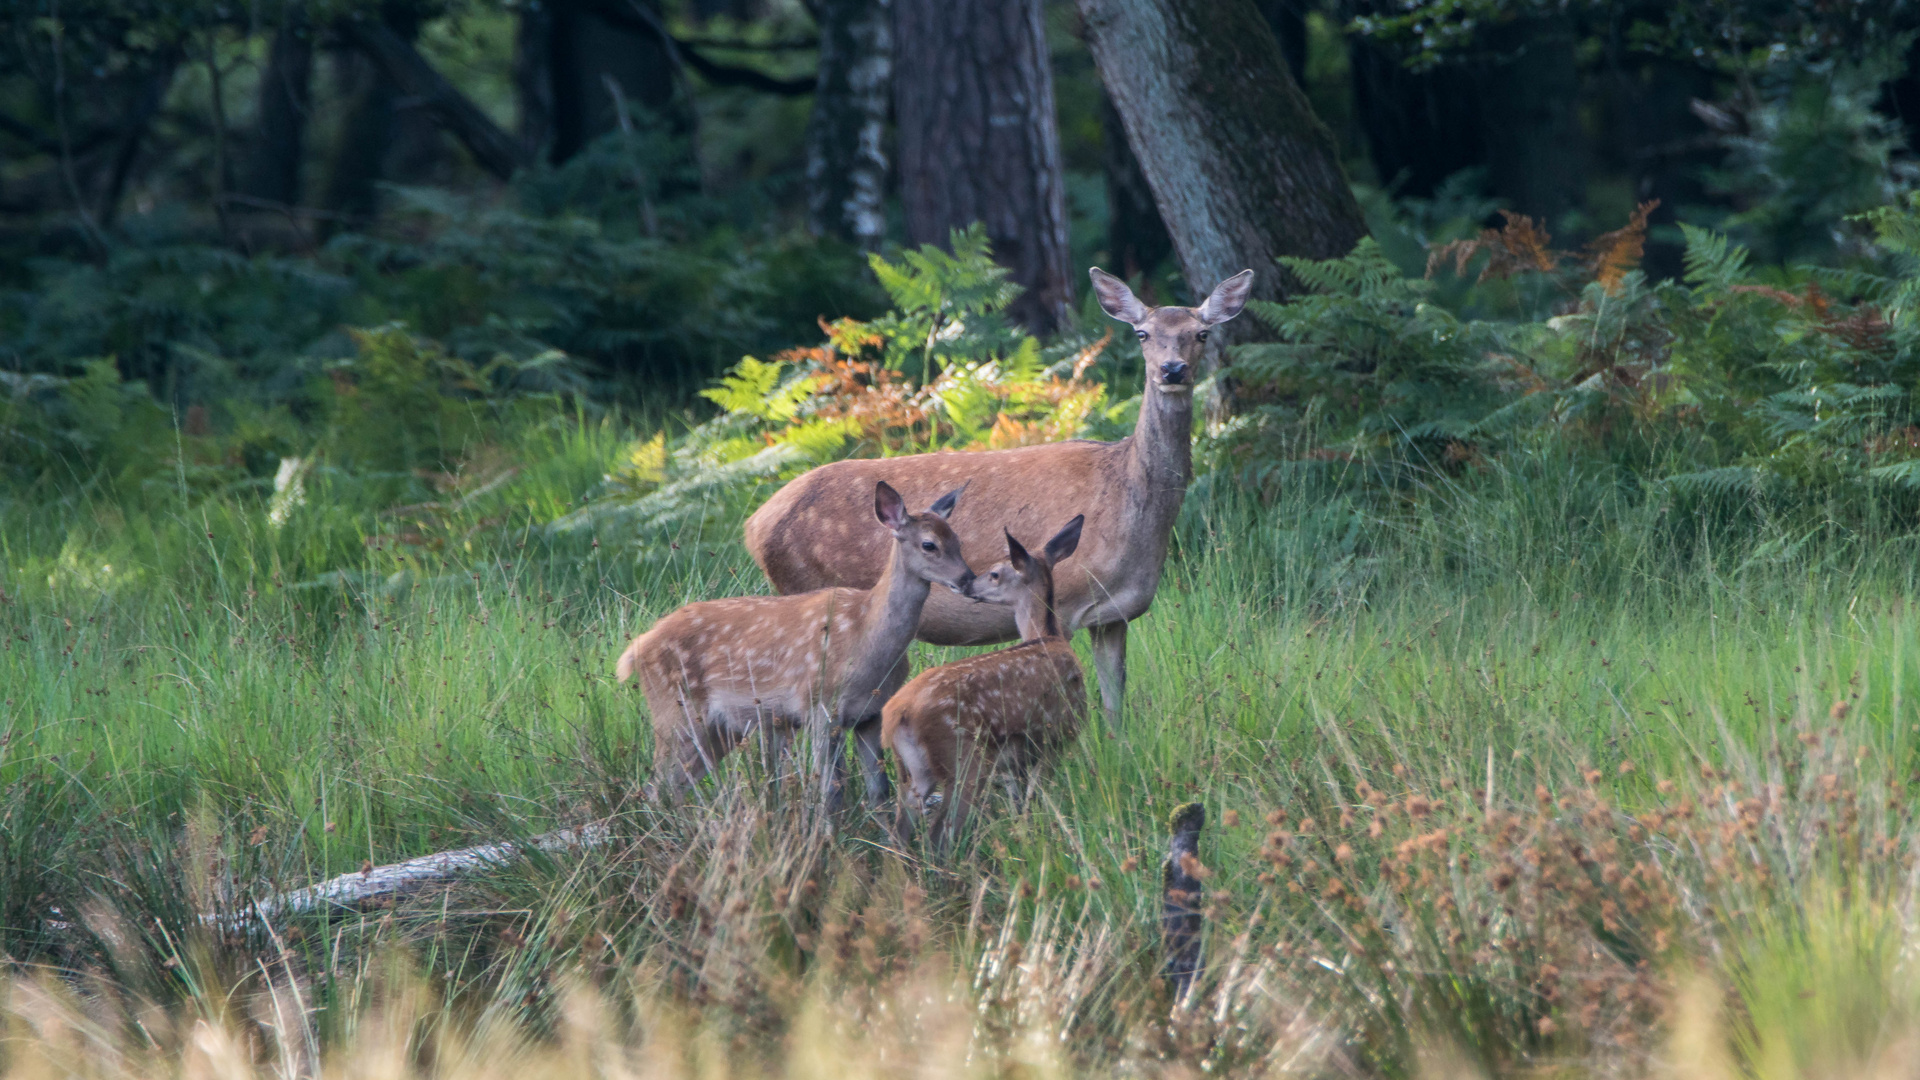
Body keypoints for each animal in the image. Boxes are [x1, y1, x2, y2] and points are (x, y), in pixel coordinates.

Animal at [618, 480, 975, 807]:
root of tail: (638, 648)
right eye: (929, 544)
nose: (967, 579)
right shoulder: (819, 706)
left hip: (720, 727)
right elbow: (830, 791)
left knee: (677, 784)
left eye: (957, 539)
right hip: (674, 711)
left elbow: (879, 792)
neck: (865, 637)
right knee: (657, 788)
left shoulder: (870, 715)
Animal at [879, 507, 1082, 845]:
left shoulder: (1015, 762)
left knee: (900, 835)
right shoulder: (1057, 737)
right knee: (939, 834)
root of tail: (897, 713)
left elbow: (1020, 805)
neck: (1050, 638)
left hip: (914, 770)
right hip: (964, 759)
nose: (969, 584)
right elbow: (1033, 798)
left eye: (995, 573)